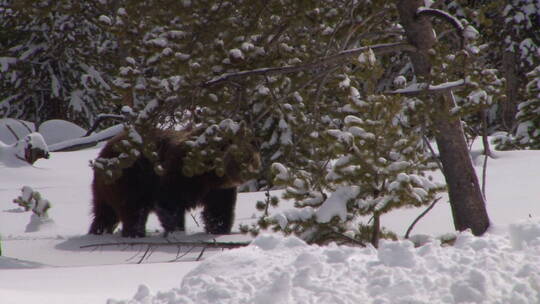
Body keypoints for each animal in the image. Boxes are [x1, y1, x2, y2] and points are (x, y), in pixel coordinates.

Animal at [89, 126, 262, 238]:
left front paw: (219, 229)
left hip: (105, 189)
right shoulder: (177, 175)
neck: (208, 175)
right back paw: (135, 233)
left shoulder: (218, 190)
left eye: (251, 158)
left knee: (105, 212)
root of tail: (104, 151)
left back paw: (97, 232)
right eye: (240, 158)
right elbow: (169, 203)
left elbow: (219, 208)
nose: (249, 173)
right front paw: (177, 231)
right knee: (133, 210)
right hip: (129, 178)